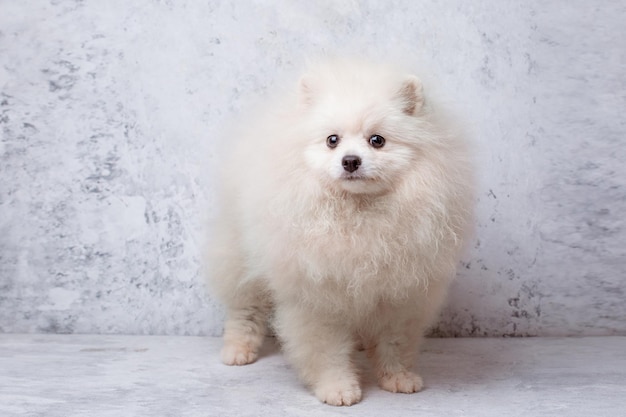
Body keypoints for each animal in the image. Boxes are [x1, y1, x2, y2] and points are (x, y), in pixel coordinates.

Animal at [207, 57, 470, 404]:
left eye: (377, 140)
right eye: (333, 140)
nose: (350, 161)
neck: (357, 213)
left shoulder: (399, 293)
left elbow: (394, 343)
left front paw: (397, 377)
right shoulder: (317, 295)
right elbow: (326, 350)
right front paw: (338, 388)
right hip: (239, 253)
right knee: (244, 307)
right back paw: (238, 349)